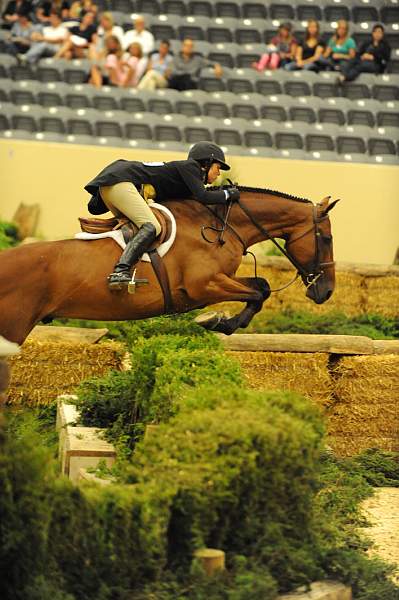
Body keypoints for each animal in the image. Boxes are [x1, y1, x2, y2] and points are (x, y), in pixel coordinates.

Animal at [0, 188, 340, 346]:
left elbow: (261, 287)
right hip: (13, 328)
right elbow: (259, 292)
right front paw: (218, 322)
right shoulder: (204, 285)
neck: (221, 225)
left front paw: (222, 321)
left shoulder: (217, 282)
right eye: (326, 238)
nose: (327, 292)